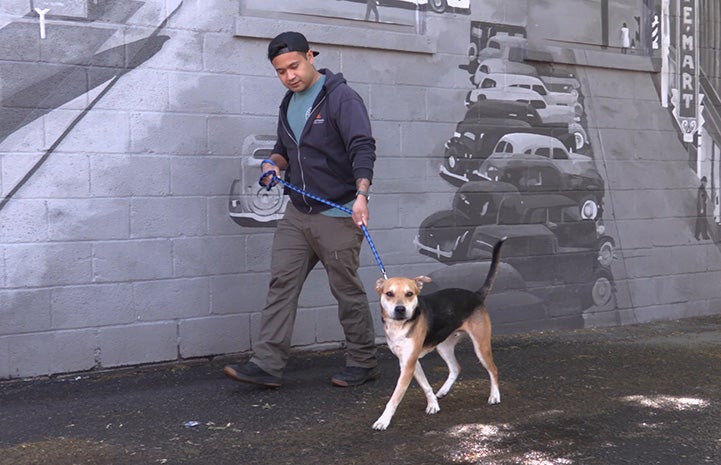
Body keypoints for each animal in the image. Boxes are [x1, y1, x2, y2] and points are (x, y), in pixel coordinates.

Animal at [372, 237, 506, 430]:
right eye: (389, 293)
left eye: (409, 294)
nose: (400, 309)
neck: (399, 326)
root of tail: (476, 295)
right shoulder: (409, 362)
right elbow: (426, 385)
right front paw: (433, 404)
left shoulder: (408, 364)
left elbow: (395, 397)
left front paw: (383, 420)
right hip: (443, 346)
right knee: (456, 367)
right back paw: (443, 391)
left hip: (481, 346)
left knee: (493, 369)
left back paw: (494, 396)